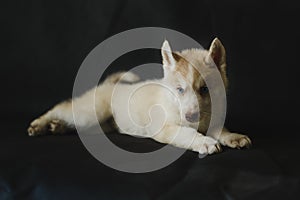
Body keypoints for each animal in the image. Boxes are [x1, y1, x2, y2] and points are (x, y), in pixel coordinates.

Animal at [28, 38, 251, 155]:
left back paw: (56, 127)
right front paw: (204, 142)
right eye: (179, 90)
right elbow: (187, 133)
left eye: (205, 89)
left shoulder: (212, 120)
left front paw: (233, 136)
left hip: (99, 123)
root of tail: (108, 84)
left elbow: (221, 129)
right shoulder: (166, 128)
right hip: (89, 113)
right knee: (62, 108)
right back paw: (40, 124)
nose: (191, 116)